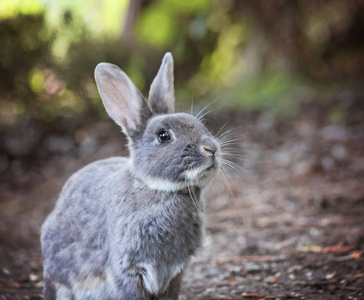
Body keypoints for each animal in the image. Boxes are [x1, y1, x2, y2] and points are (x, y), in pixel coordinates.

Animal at [41, 52, 220, 298]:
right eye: (163, 136)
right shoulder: (126, 268)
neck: (157, 187)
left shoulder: (174, 271)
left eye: (199, 124)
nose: (212, 149)